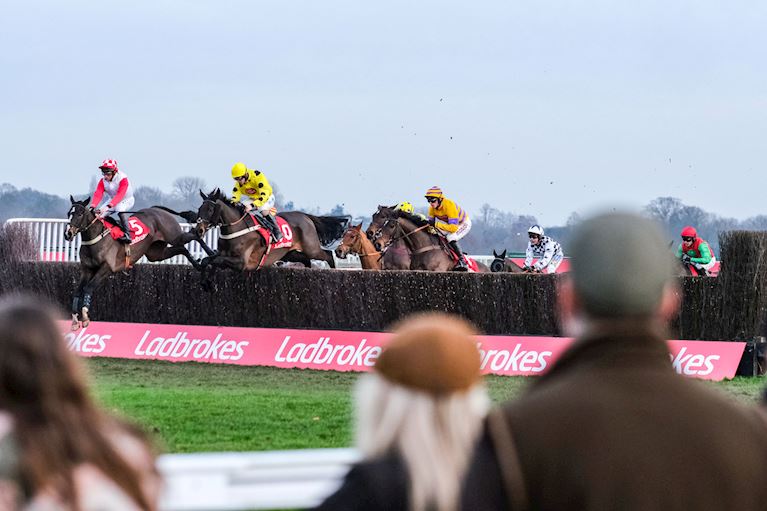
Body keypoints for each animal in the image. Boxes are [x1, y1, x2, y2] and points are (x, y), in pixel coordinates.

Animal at [62, 196, 213, 332]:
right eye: (69, 213)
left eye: (80, 214)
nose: (68, 234)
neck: (96, 238)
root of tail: (157, 210)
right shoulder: (86, 269)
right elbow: (78, 291)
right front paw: (74, 321)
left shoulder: (107, 268)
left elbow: (88, 288)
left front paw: (85, 317)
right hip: (155, 254)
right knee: (183, 249)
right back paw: (199, 265)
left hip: (174, 236)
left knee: (194, 235)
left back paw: (211, 253)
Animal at [194, 190, 350, 280]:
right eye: (200, 208)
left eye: (210, 209)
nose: (199, 230)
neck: (236, 228)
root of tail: (306, 216)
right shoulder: (221, 254)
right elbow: (209, 260)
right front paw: (206, 280)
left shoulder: (242, 263)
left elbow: (215, 260)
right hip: (290, 253)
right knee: (306, 261)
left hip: (311, 248)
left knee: (327, 255)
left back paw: (334, 272)